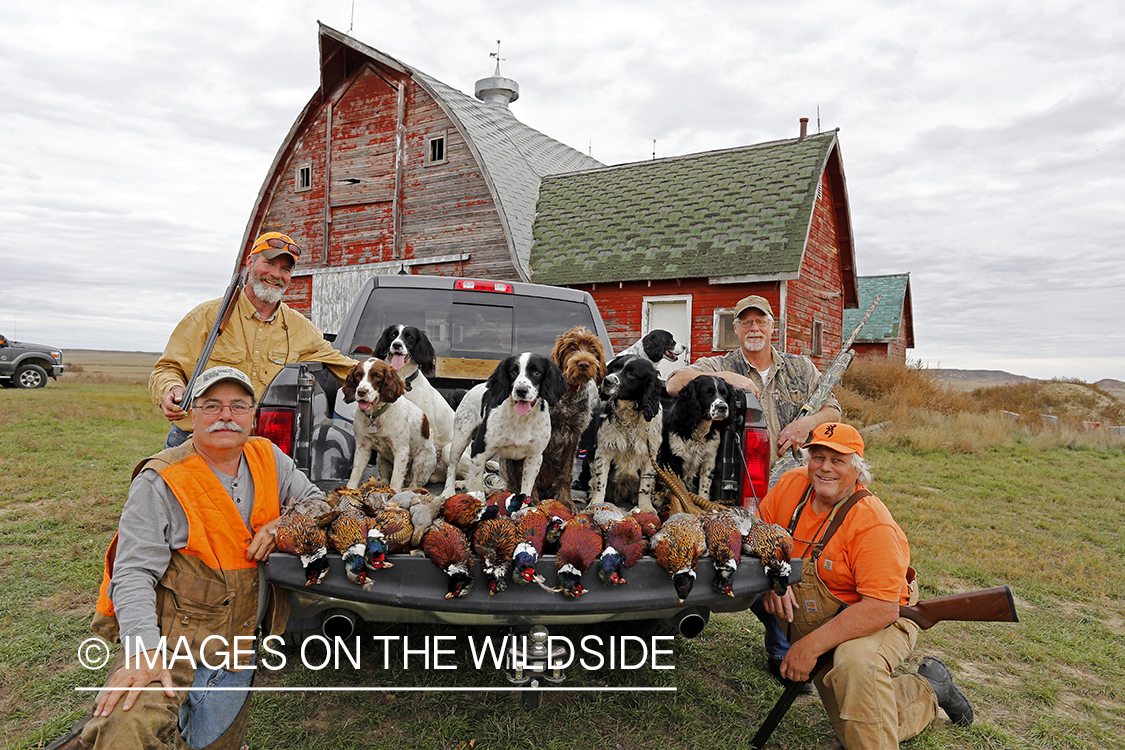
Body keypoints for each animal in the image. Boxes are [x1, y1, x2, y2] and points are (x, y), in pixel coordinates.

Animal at [504, 326, 607, 510]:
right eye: (572, 346)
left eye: (592, 348)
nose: (584, 364)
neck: (567, 394)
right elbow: (532, 474)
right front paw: (533, 500)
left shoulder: (574, 435)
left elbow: (567, 472)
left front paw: (565, 500)